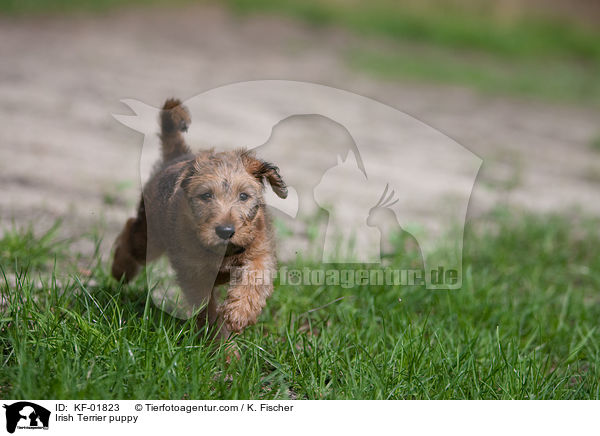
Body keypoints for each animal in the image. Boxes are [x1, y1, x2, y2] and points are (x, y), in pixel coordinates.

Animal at [113, 98, 290, 338]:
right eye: (206, 196)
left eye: (244, 196)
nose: (226, 231)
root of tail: (177, 156)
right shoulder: (194, 274)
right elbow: (207, 309)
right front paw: (218, 339)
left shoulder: (261, 252)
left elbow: (255, 278)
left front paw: (239, 314)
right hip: (149, 236)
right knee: (131, 232)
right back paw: (120, 271)